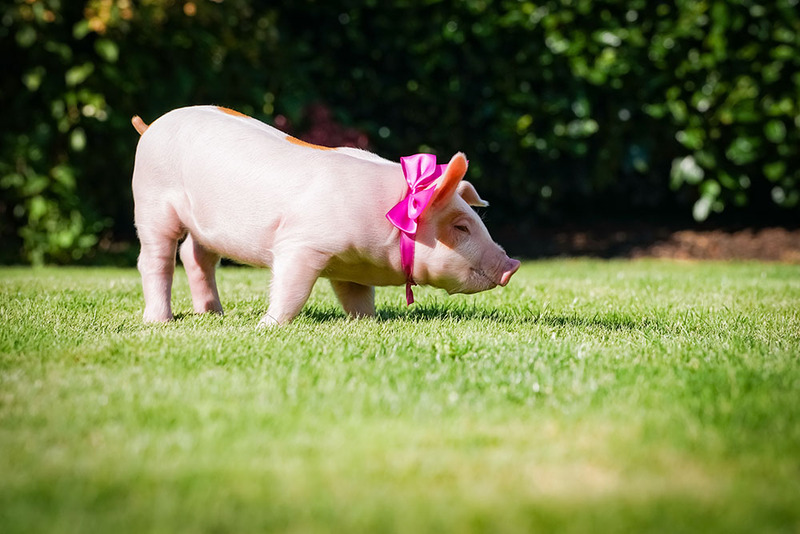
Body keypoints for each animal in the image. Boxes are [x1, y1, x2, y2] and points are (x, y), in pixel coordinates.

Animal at [131, 105, 520, 327]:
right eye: (461, 227)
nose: (512, 264)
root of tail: (151, 126)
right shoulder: (301, 244)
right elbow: (292, 289)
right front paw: (267, 326)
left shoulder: (353, 267)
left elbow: (358, 298)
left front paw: (370, 324)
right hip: (150, 201)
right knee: (155, 259)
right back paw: (159, 322)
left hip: (204, 227)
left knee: (196, 256)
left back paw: (213, 314)